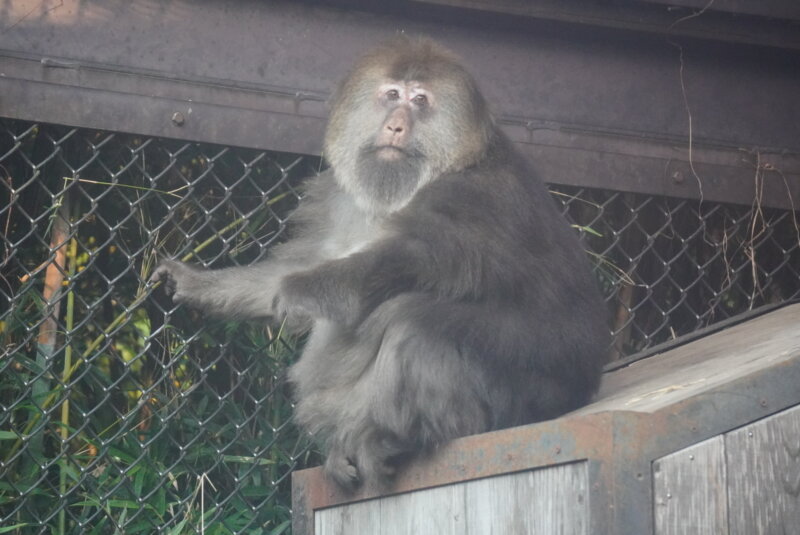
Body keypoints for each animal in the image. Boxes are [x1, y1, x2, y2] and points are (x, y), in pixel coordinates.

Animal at [152, 36, 609, 492]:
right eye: (391, 95)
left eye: (420, 100)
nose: (396, 126)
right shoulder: (339, 200)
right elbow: (306, 263)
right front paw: (194, 284)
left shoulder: (471, 199)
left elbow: (381, 272)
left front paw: (296, 292)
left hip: (524, 401)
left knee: (414, 322)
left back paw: (395, 438)